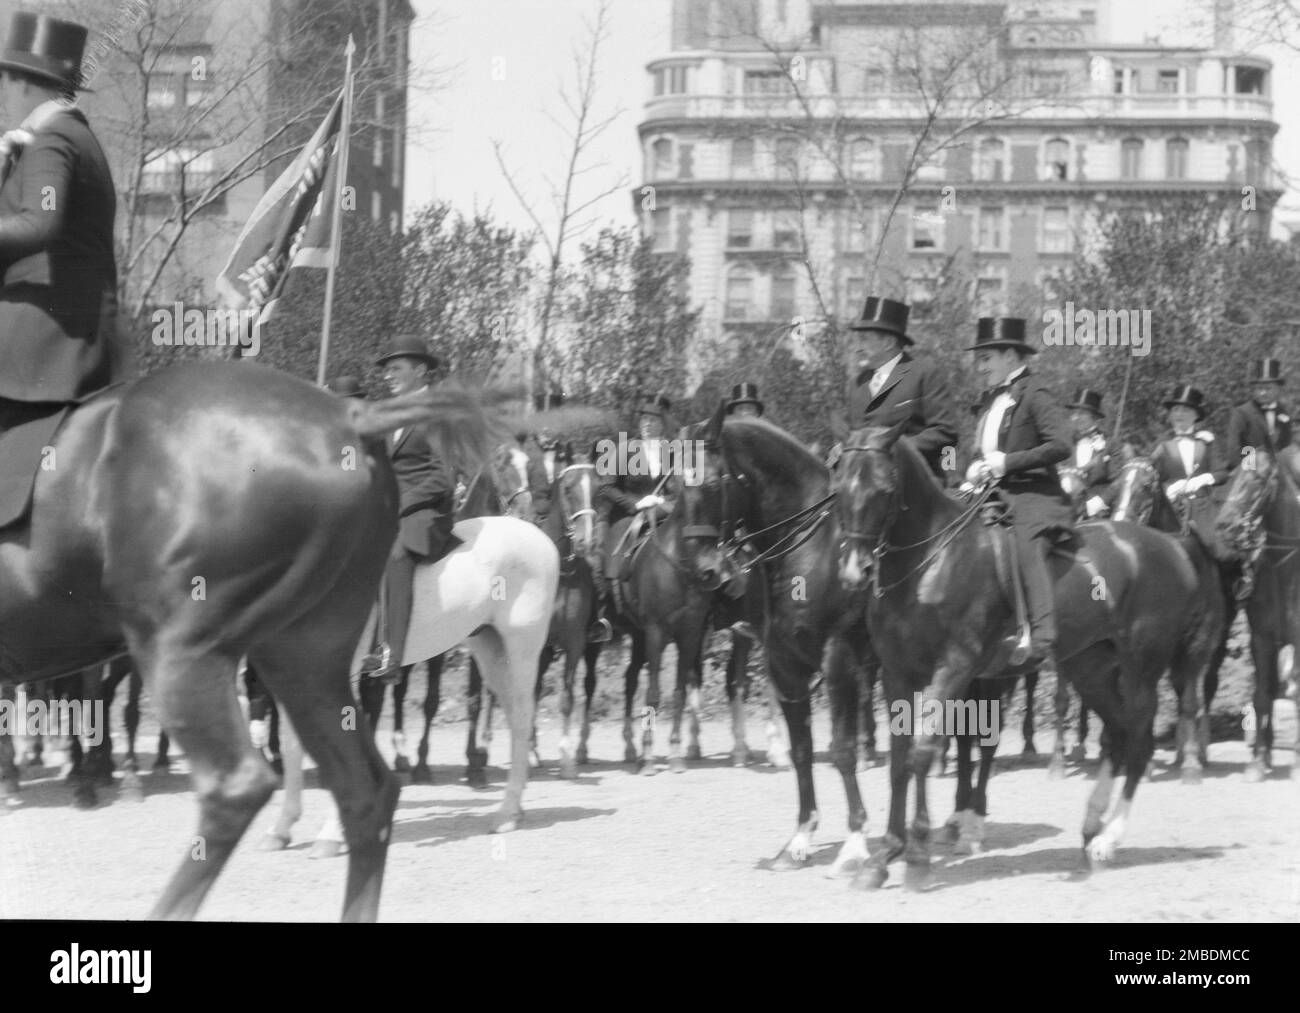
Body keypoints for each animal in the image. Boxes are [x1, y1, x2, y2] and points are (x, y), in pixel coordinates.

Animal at [837, 423, 1222, 889]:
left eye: (885, 488)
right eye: (841, 487)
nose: (853, 572)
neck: (931, 562)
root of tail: (1173, 546)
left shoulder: (953, 668)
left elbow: (922, 752)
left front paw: (916, 857)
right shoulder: (897, 674)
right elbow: (898, 761)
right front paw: (882, 858)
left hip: (1141, 666)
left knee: (1139, 740)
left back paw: (1109, 838)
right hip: (1090, 667)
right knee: (1117, 733)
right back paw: (1090, 832)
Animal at [1211, 447, 1300, 780]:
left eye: (1258, 479)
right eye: (1234, 476)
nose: (1224, 526)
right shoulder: (1262, 639)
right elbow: (1262, 696)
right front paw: (1258, 762)